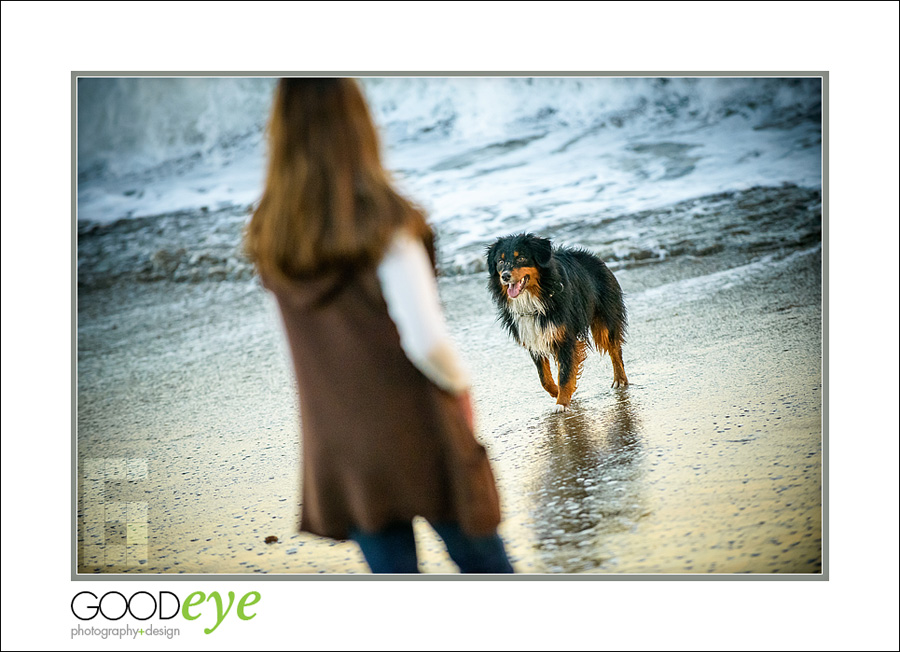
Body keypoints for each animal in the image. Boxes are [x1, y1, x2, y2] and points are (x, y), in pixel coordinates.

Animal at [486, 232, 624, 410]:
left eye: (521, 258)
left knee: (615, 349)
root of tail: (594, 257)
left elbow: (565, 373)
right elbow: (544, 377)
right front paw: (558, 392)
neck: (533, 299)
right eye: (500, 261)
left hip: (605, 320)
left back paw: (620, 380)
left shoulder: (565, 336)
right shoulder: (533, 338)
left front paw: (561, 403)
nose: (505, 276)